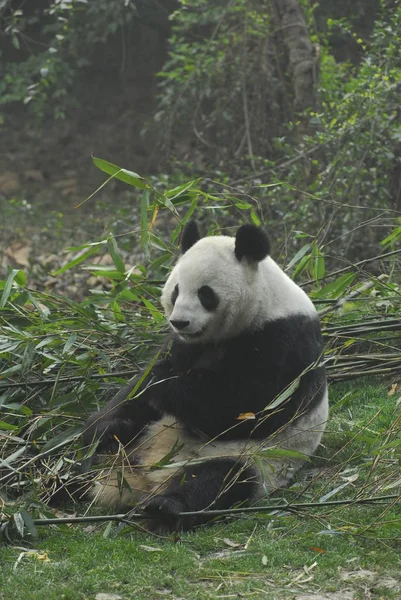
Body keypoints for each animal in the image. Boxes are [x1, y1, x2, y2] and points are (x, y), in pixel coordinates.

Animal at [82, 220, 328, 528]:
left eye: (205, 293)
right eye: (176, 291)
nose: (180, 321)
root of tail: (146, 479)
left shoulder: (285, 342)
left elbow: (243, 409)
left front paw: (163, 384)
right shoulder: (181, 344)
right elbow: (131, 394)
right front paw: (108, 427)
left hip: (254, 460)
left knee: (218, 479)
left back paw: (164, 508)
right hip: (137, 443)